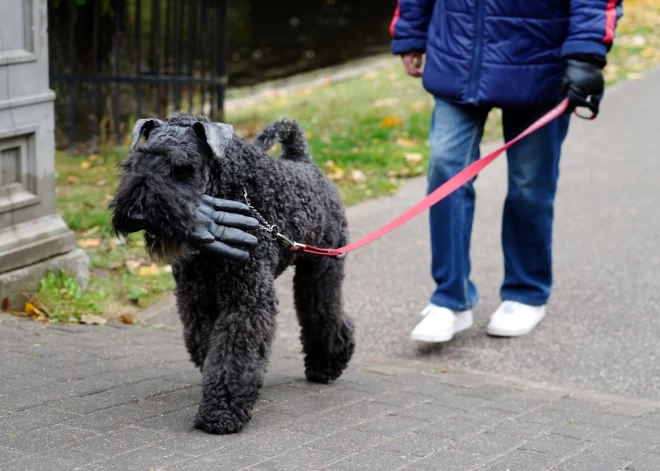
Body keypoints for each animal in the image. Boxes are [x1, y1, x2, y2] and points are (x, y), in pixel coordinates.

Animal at [109, 113, 356, 436]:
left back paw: (327, 364)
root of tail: (303, 161)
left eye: (182, 168)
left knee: (324, 312)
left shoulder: (246, 298)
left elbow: (234, 353)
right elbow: (207, 342)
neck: (233, 190)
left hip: (321, 269)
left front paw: (221, 412)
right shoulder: (197, 297)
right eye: (135, 163)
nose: (138, 214)